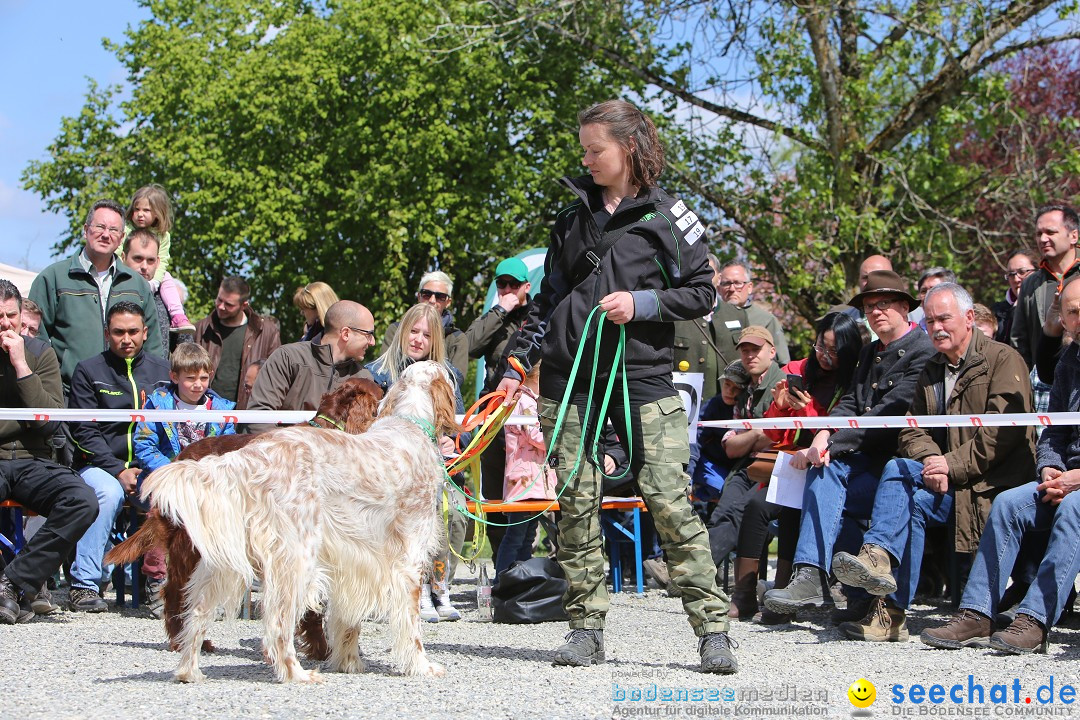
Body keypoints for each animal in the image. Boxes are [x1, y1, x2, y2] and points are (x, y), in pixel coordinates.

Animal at [140, 362, 460, 686]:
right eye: (450, 377)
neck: (410, 423)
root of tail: (249, 458)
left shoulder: (355, 561)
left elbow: (349, 621)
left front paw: (349, 662)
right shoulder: (407, 561)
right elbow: (412, 626)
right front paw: (421, 666)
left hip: (222, 562)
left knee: (196, 612)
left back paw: (188, 670)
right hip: (296, 559)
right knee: (277, 624)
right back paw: (296, 672)